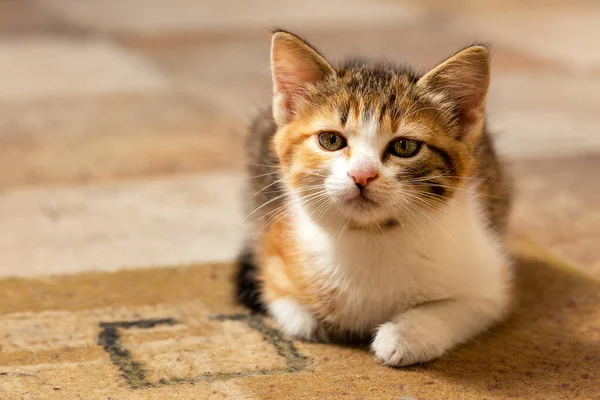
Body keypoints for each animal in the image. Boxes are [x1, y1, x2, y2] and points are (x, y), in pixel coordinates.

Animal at [234, 29, 510, 368]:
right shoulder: (274, 253)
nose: (362, 175)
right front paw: (314, 319)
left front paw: (404, 336)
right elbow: (292, 312)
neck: (371, 236)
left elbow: (460, 306)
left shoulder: (489, 278)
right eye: (330, 140)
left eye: (404, 146)